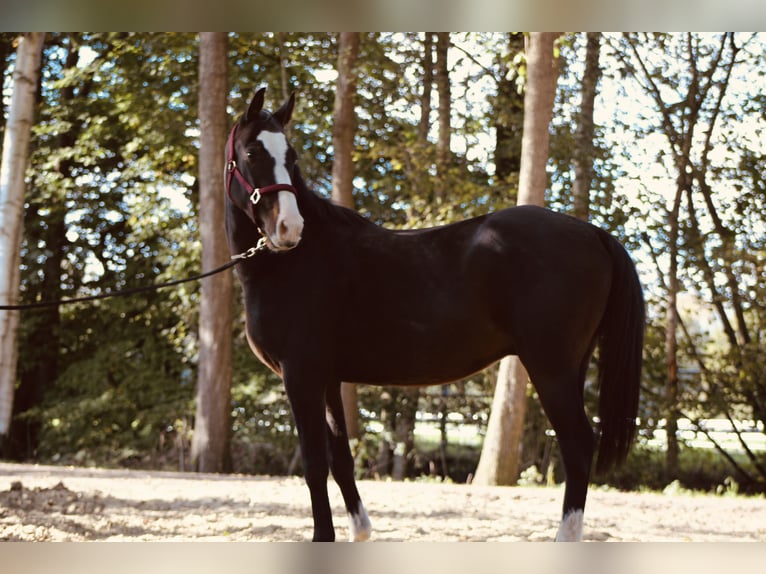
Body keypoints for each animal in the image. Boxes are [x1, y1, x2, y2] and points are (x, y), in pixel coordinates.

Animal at [224, 88, 648, 544]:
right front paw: (360, 532)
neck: (297, 263)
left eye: (292, 156)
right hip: (573, 366)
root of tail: (593, 233)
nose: (289, 228)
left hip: (551, 370)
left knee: (578, 447)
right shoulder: (328, 380)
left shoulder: (301, 376)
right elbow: (341, 459)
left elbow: (315, 463)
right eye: (252, 152)